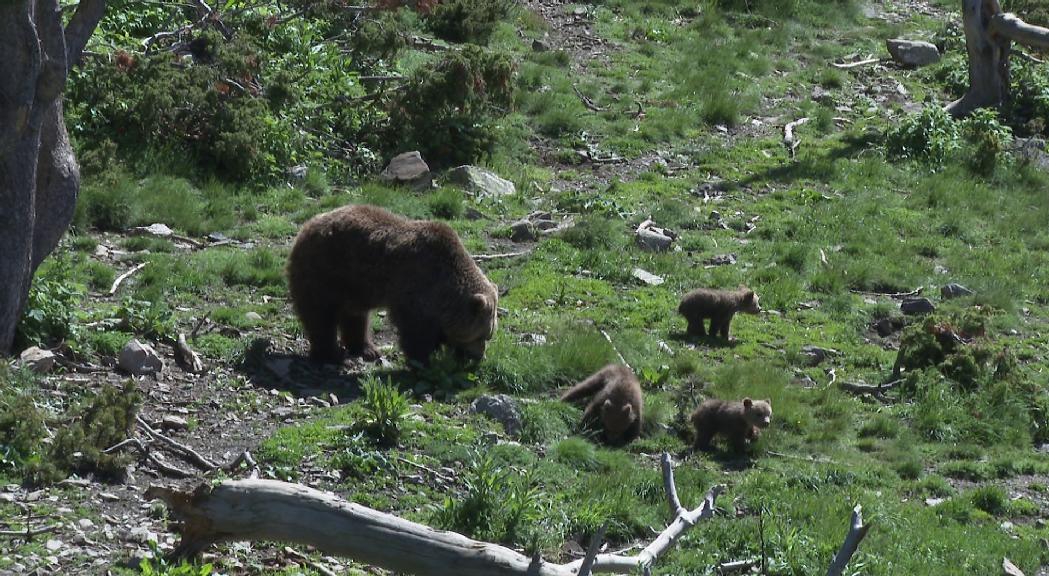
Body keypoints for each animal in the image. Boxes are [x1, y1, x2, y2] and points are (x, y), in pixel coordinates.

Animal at [287, 203, 499, 363]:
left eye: (489, 335)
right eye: (482, 335)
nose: (479, 357)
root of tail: (306, 226)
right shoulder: (415, 286)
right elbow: (415, 331)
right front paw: (423, 359)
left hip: (354, 286)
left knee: (355, 316)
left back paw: (367, 349)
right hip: (325, 271)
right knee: (320, 315)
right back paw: (331, 354)